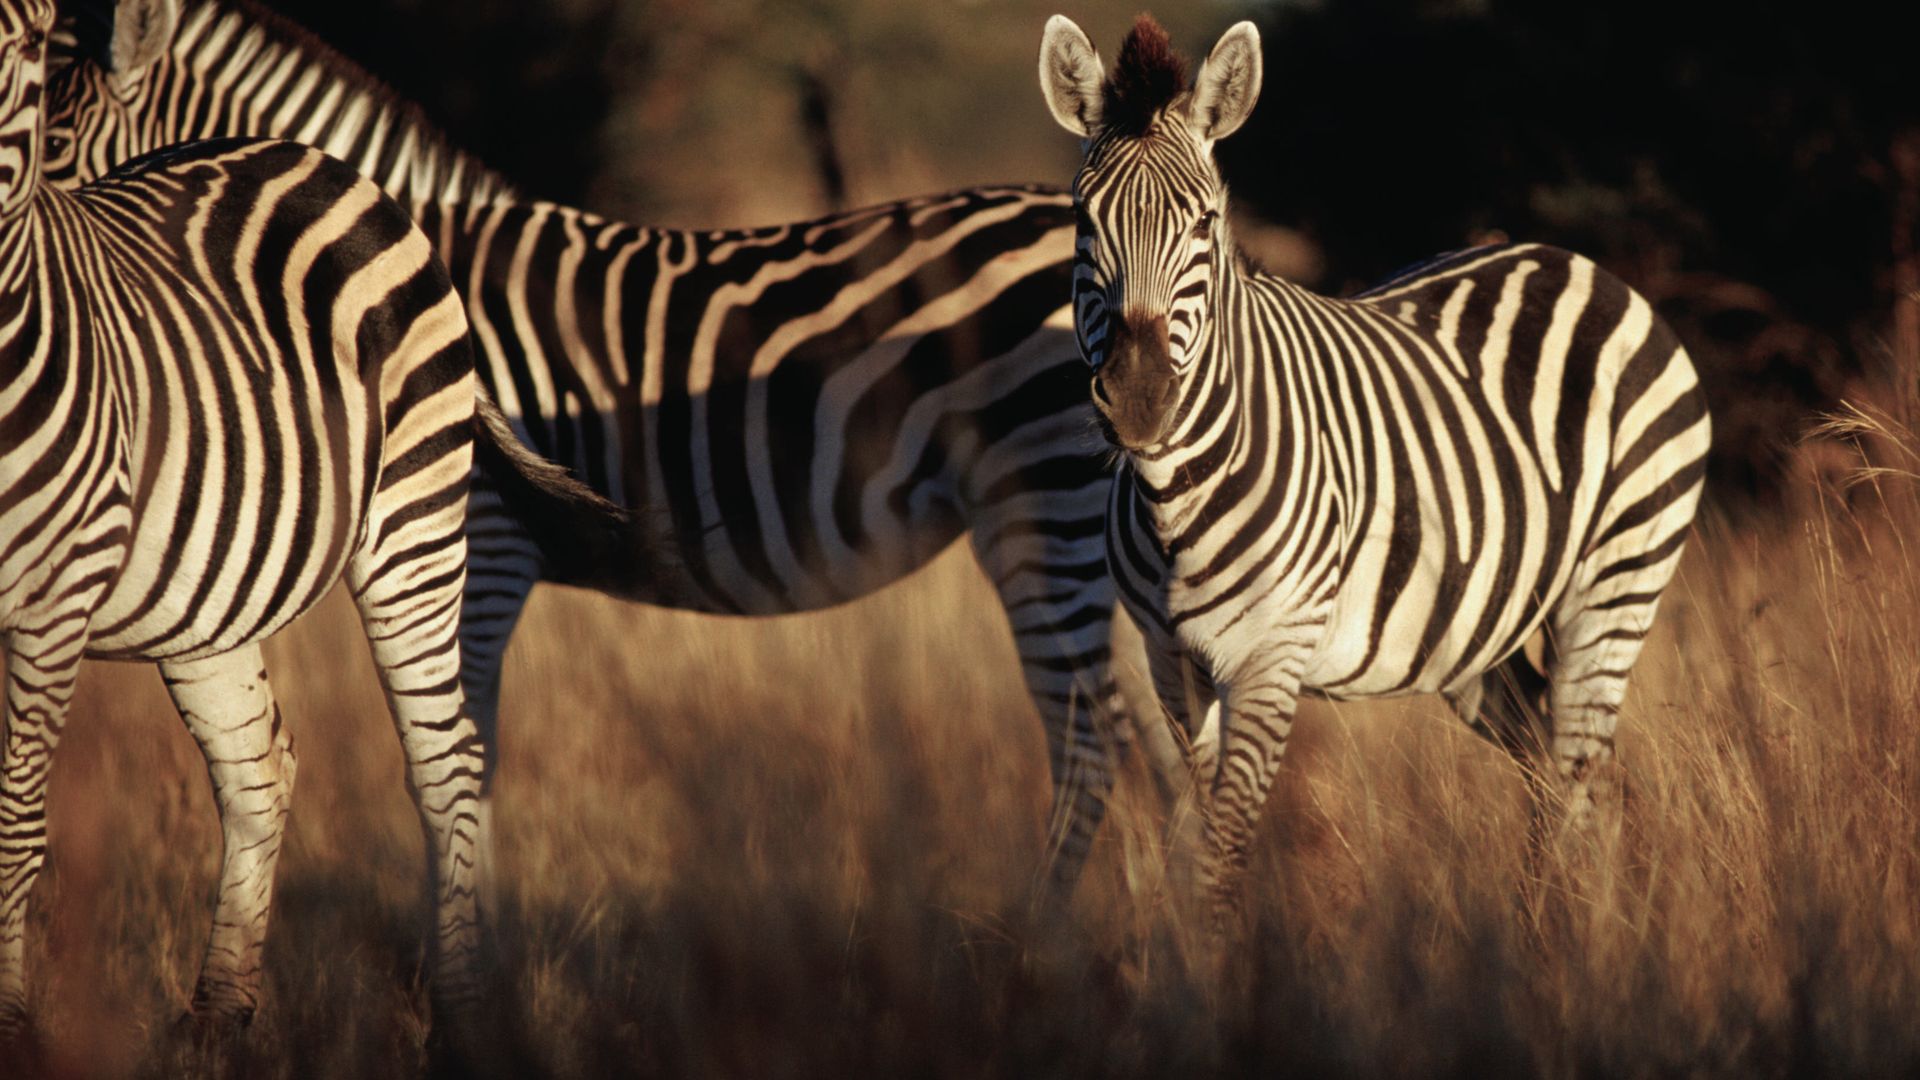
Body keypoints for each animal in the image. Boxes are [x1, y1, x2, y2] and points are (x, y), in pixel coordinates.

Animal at [0, 0, 648, 1039]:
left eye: (55, 132)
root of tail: (326, 164)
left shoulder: (54, 600)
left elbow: (16, 824)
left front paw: (13, 1028)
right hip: (211, 579)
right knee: (260, 769)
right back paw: (217, 1021)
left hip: (415, 532)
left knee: (448, 761)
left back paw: (458, 1020)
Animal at [42, 0, 1187, 898]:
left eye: (39, 153)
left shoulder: (478, 543)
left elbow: (467, 760)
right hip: (1087, 529)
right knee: (1160, 743)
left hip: (1037, 510)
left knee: (1089, 750)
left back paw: (1041, 954)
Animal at [1037, 14, 1711, 930]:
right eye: (1083, 219)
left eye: (1205, 224)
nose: (1141, 402)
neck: (1176, 498)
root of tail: (1580, 264)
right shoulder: (1169, 660)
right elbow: (1192, 851)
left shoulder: (1270, 656)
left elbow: (1220, 863)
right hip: (1481, 631)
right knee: (1557, 771)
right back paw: (1548, 938)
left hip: (1617, 580)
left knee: (1578, 772)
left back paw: (1573, 946)